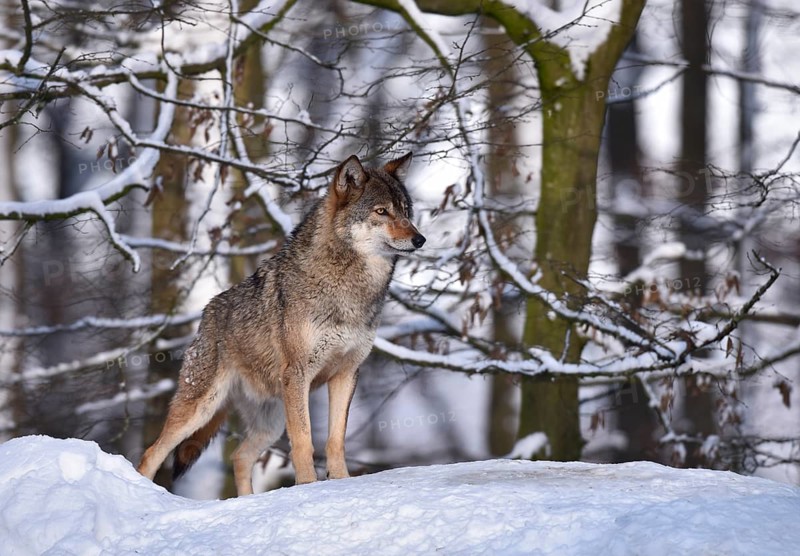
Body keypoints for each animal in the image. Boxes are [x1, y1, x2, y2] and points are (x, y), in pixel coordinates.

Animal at [137, 153, 425, 495]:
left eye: (406, 211)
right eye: (382, 211)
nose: (420, 239)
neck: (348, 288)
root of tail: (206, 312)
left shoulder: (346, 373)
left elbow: (335, 440)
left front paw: (341, 483)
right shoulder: (298, 374)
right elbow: (303, 440)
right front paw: (308, 487)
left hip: (269, 423)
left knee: (239, 457)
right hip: (202, 408)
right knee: (152, 452)